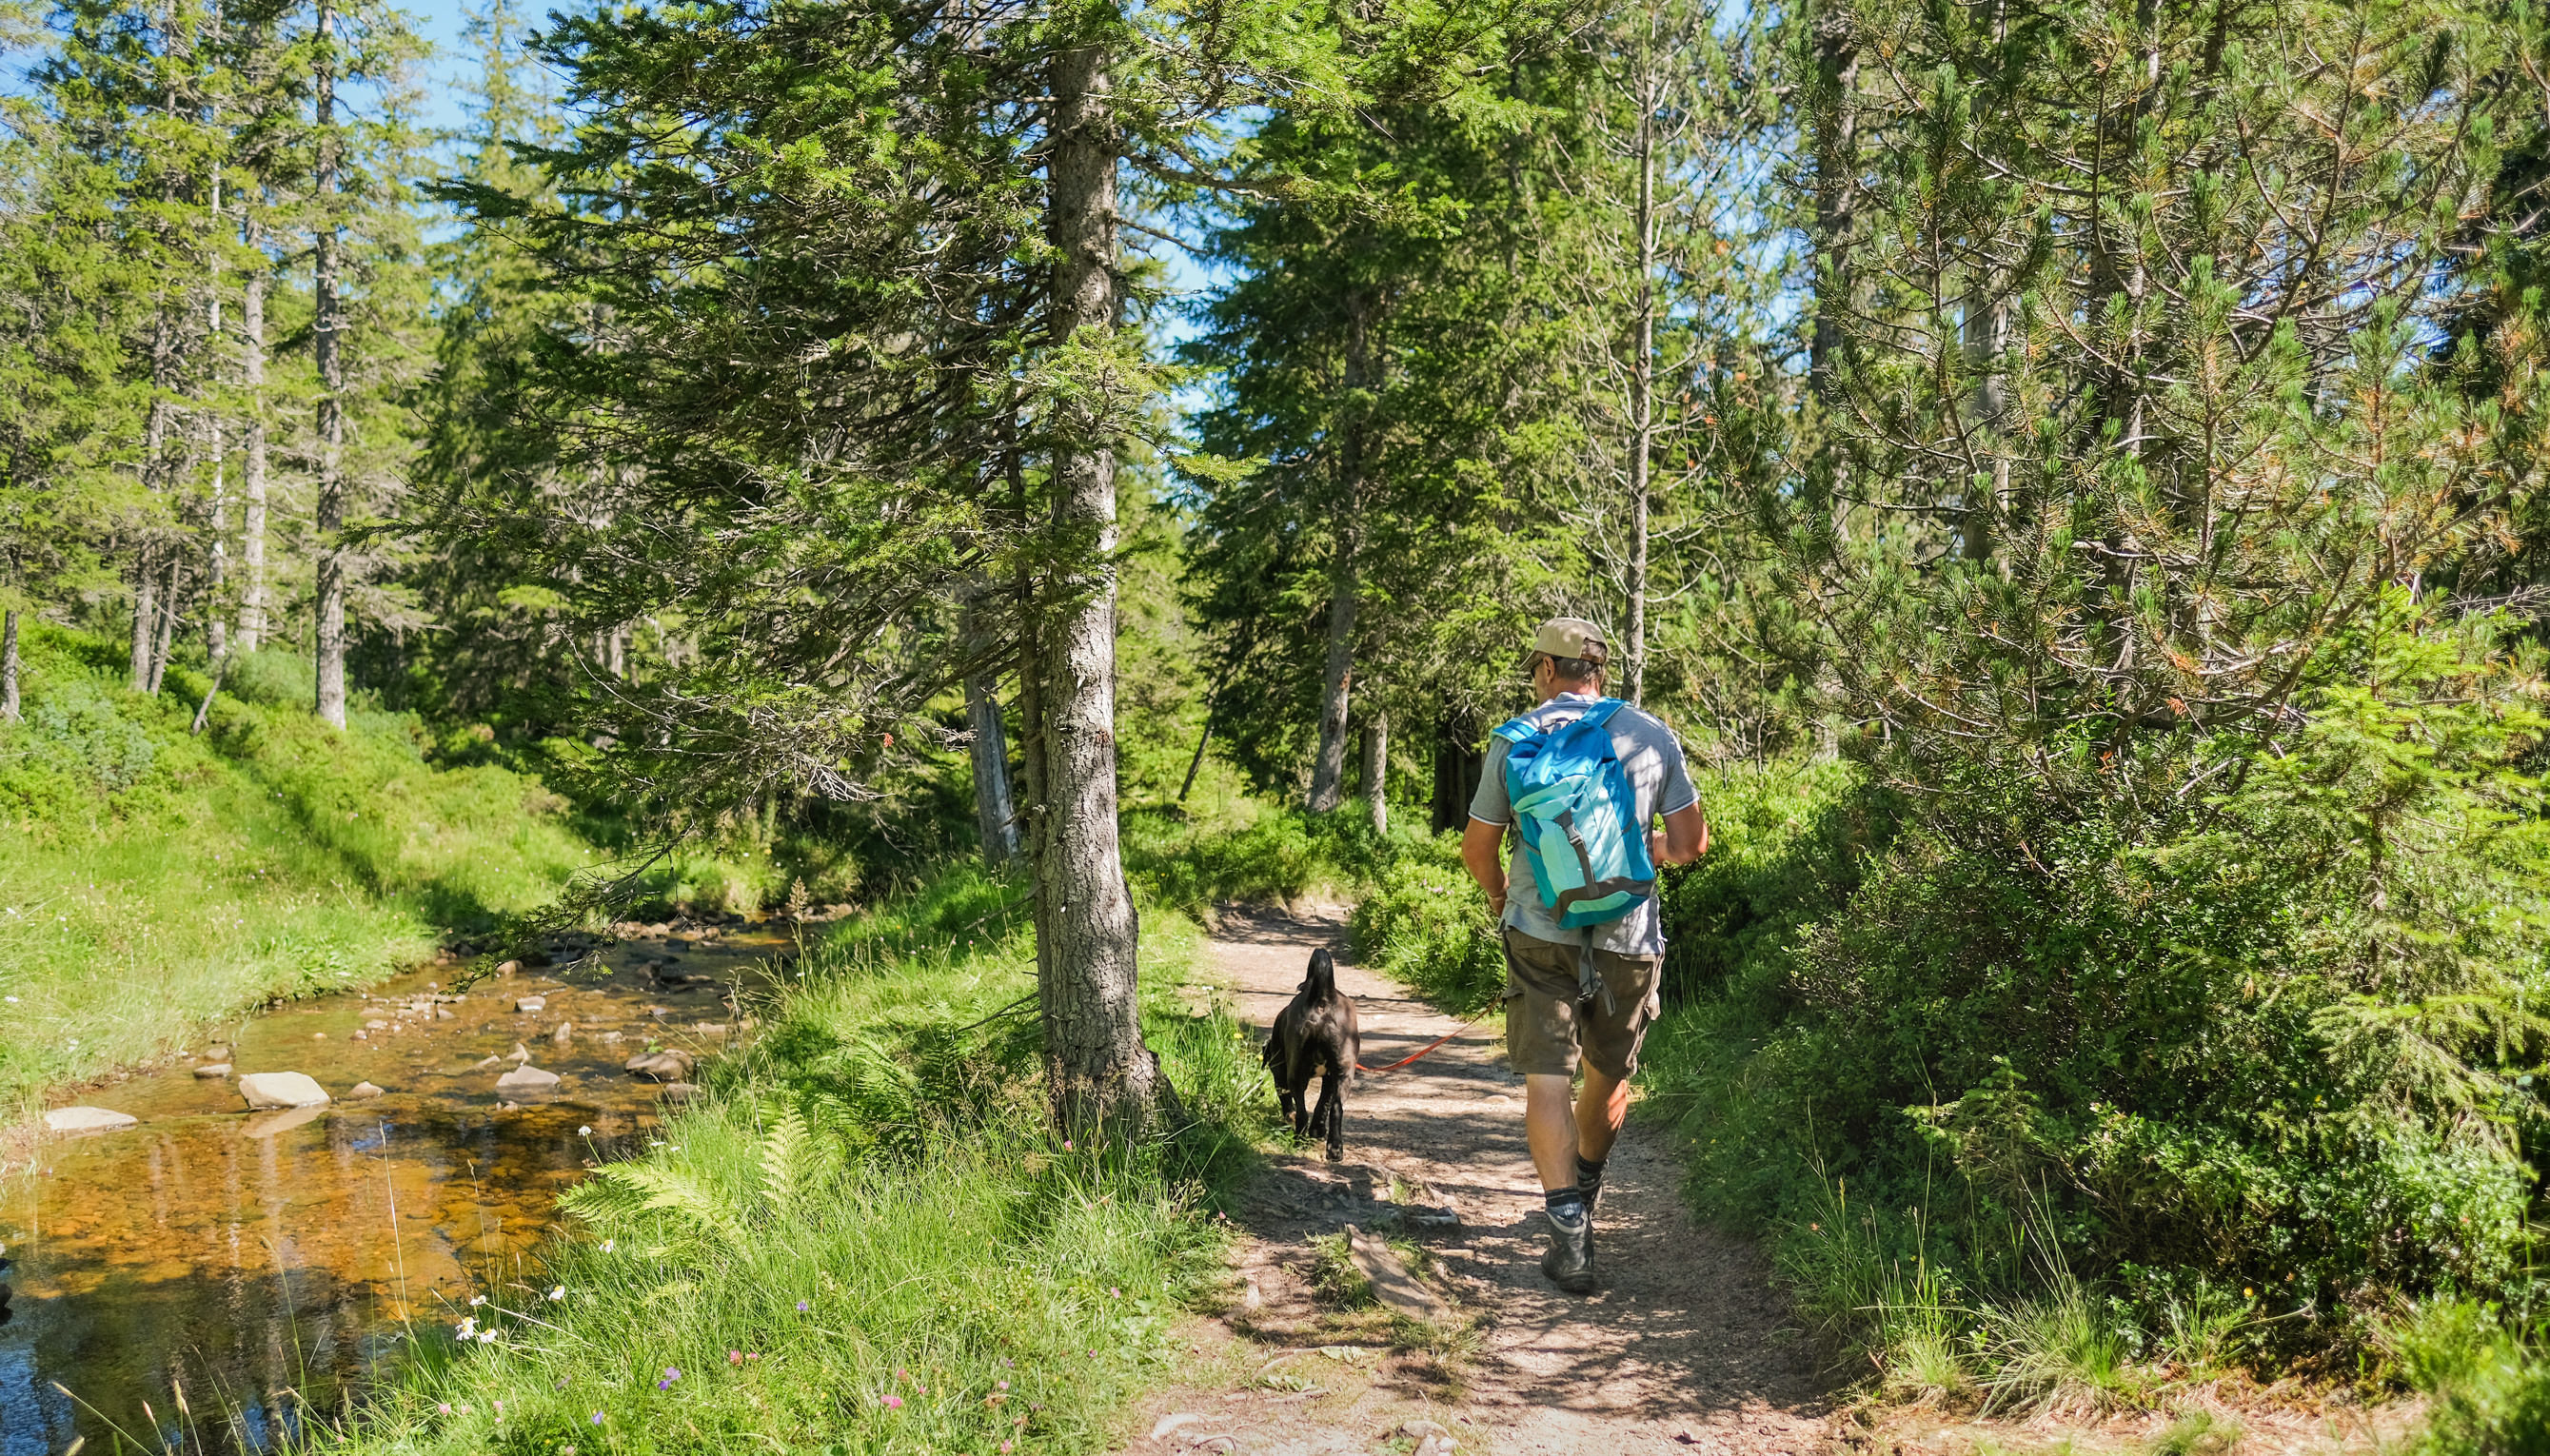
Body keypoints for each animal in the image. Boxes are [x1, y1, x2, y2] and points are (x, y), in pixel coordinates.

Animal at [1263, 947, 1360, 1162]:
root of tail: (1322, 999)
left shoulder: (1280, 1073)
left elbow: (1287, 1100)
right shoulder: (1331, 1077)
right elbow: (1324, 1103)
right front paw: (1318, 1131)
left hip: (1295, 1073)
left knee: (1301, 1111)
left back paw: (1298, 1139)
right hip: (1344, 1071)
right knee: (1336, 1108)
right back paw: (1334, 1149)